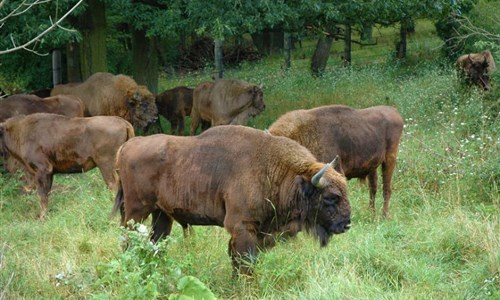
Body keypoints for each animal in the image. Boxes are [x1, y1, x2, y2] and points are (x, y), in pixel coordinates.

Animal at [0, 112, 135, 218]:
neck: (19, 131)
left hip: (106, 165)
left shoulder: (43, 170)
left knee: (113, 184)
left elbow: (42, 195)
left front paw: (42, 216)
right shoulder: (49, 173)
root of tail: (124, 123)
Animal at [112, 125, 352, 276]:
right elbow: (245, 261)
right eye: (330, 197)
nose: (347, 224)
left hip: (161, 214)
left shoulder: (261, 231)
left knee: (156, 242)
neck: (276, 170)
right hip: (136, 211)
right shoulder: (242, 226)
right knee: (127, 240)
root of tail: (128, 145)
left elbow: (238, 260)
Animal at [268, 105, 404, 218]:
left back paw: (384, 216)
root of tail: (395, 112)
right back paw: (371, 213)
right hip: (373, 166)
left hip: (390, 159)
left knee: (386, 188)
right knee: (373, 188)